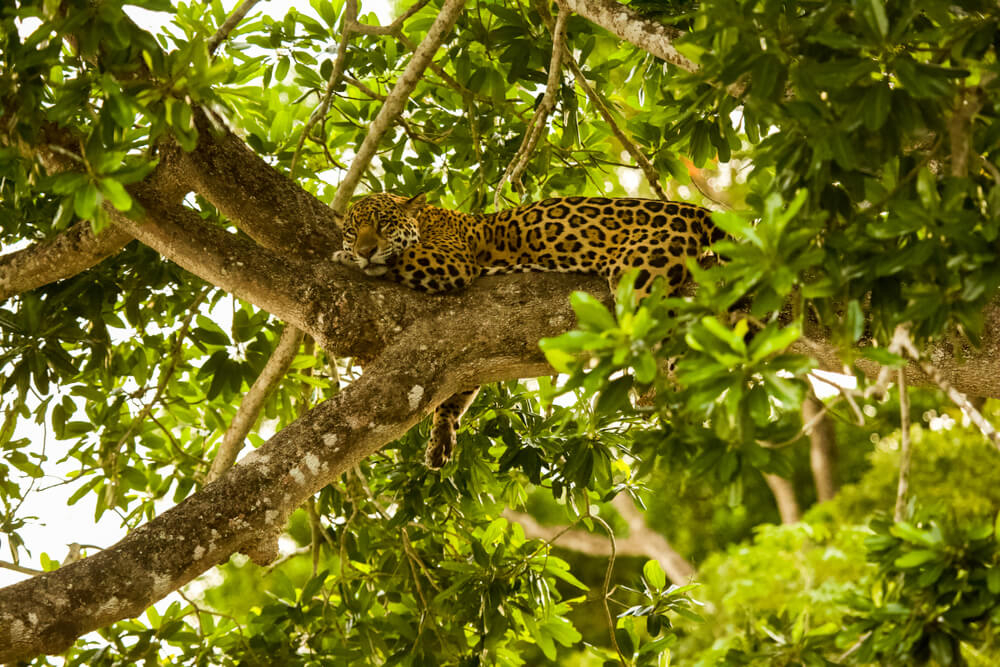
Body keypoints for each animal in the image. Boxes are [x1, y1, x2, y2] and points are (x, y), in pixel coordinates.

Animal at [334, 192, 723, 468]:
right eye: (353, 230)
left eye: (384, 225)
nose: (365, 249)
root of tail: (698, 211)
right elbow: (456, 395)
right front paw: (441, 439)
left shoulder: (449, 261)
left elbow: (397, 258)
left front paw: (347, 257)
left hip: (640, 276)